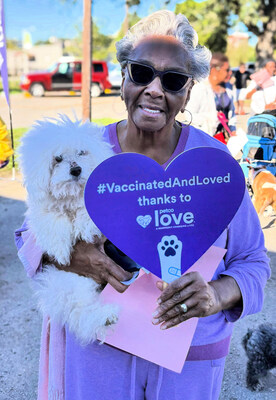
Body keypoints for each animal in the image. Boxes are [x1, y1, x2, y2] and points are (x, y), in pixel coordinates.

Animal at [18, 115, 118, 344]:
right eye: (58, 158)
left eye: (82, 152)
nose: (76, 170)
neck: (71, 195)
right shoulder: (41, 211)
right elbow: (53, 220)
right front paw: (61, 251)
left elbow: (88, 210)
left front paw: (85, 225)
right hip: (69, 281)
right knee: (79, 309)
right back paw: (102, 317)